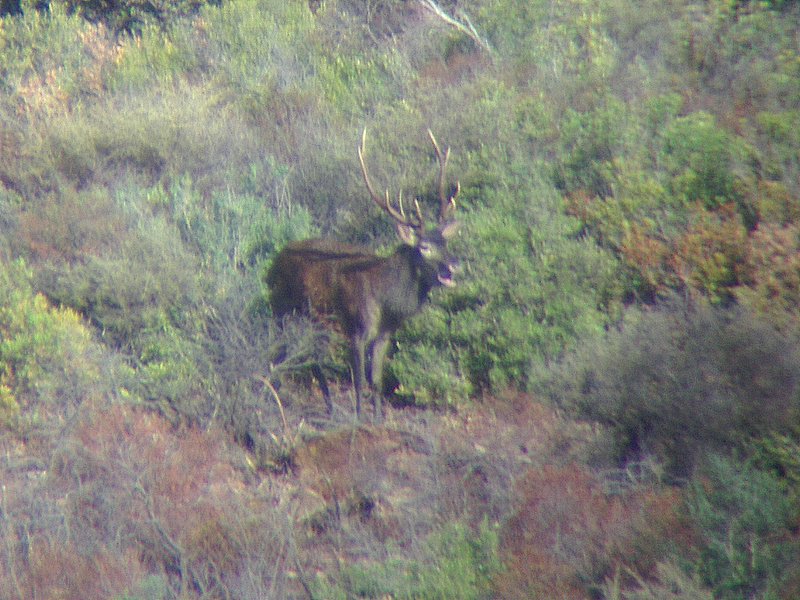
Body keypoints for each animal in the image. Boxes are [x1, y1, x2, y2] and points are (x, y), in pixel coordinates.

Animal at [268, 127, 460, 418]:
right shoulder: (358, 328)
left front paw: (379, 417)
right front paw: (360, 419)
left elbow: (376, 380)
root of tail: (273, 263)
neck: (387, 301)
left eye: (445, 243)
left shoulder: (385, 334)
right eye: (424, 247)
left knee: (313, 361)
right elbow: (358, 380)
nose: (453, 265)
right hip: (283, 310)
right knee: (279, 353)